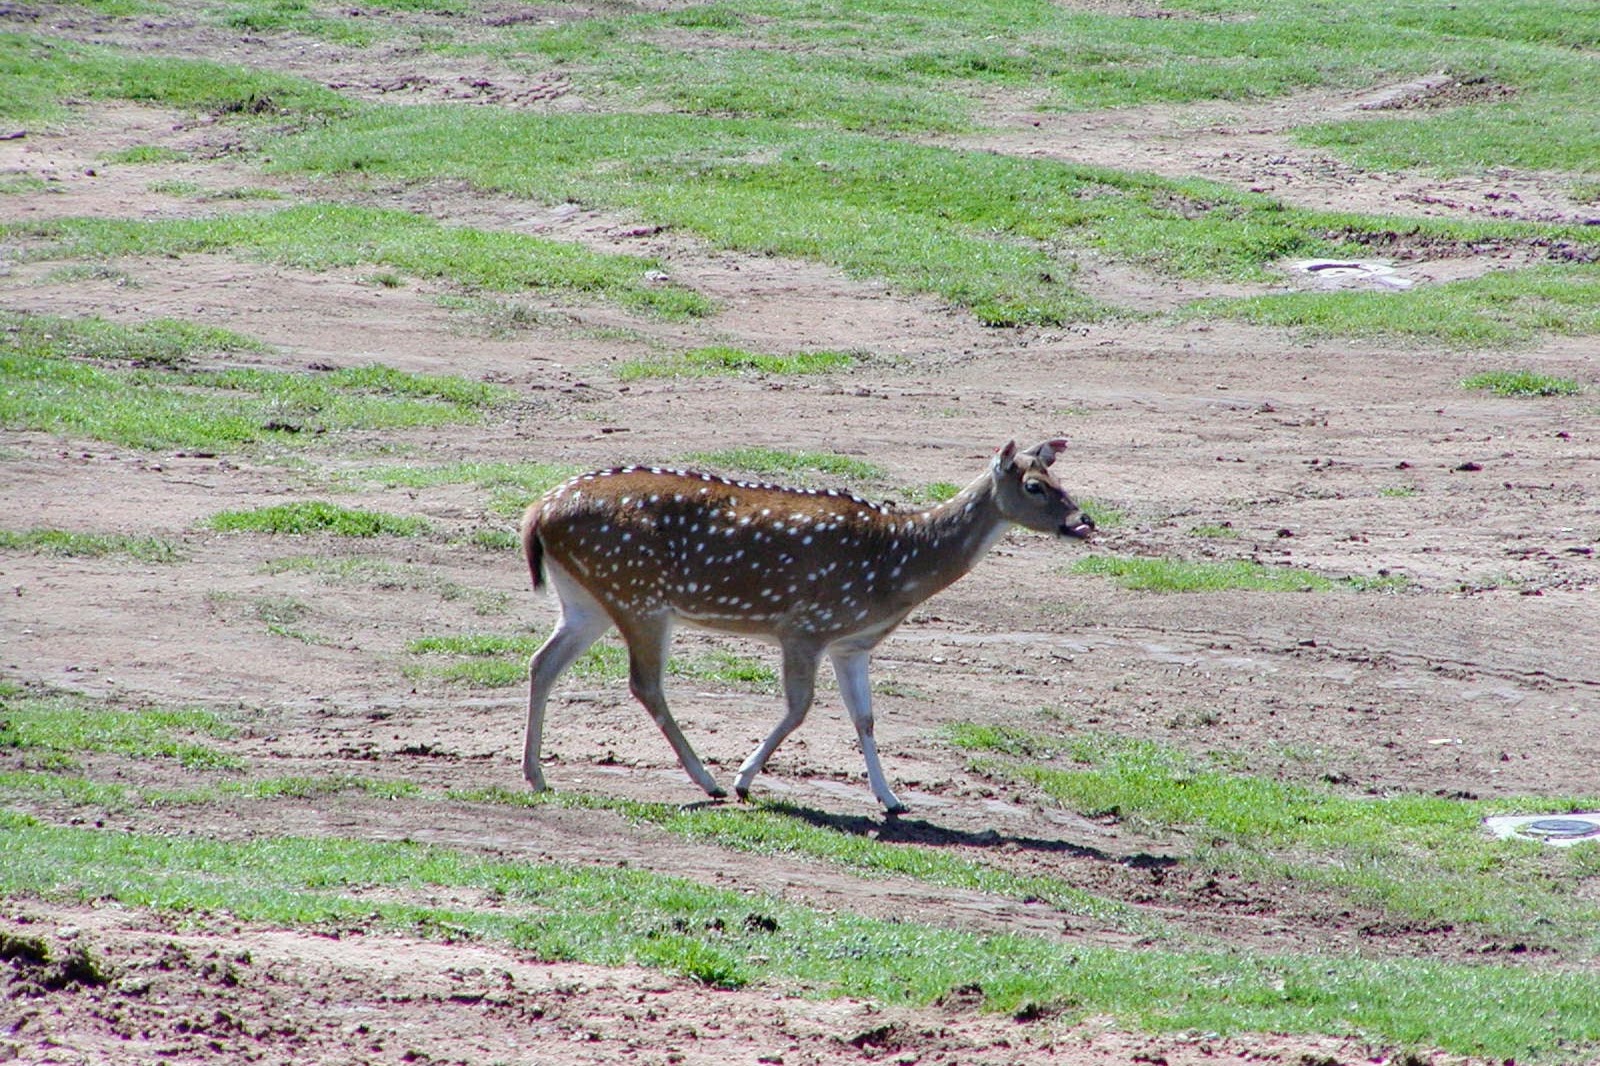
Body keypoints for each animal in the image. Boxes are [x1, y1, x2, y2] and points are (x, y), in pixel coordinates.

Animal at [518, 438, 1094, 813]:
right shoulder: (805, 625)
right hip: (638, 594)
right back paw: (709, 782)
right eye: (1035, 486)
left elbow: (865, 718)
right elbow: (800, 708)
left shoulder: (850, 644)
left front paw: (891, 799)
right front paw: (745, 780)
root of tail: (535, 514)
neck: (897, 565)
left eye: (1061, 480)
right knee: (644, 683)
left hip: (588, 600)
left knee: (542, 662)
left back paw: (537, 775)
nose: (1082, 522)